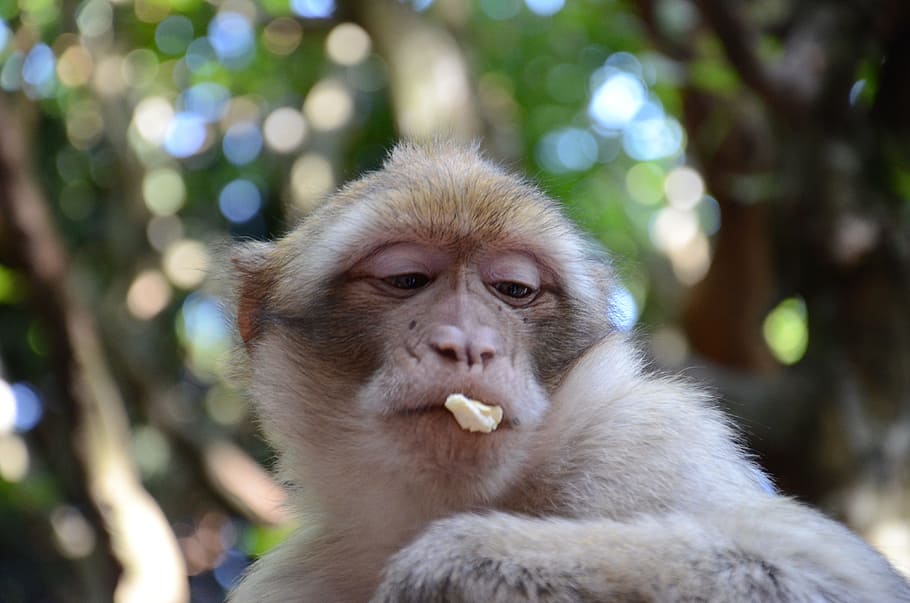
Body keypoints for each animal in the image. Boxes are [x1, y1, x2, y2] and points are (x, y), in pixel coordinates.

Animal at [227, 141, 910, 602]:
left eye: (513, 290)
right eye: (406, 280)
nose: (469, 345)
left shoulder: (649, 439)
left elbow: (812, 571)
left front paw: (453, 563)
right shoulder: (294, 581)